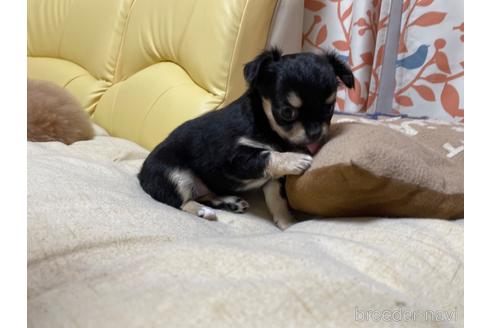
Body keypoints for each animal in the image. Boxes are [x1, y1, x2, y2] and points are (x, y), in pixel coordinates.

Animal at [138, 48, 354, 229]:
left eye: (328, 108)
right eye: (287, 112)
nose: (315, 133)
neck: (268, 128)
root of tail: (140, 175)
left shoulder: (273, 180)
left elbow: (277, 200)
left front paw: (287, 223)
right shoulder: (233, 159)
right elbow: (267, 155)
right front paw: (295, 159)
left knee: (204, 194)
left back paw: (229, 202)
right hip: (175, 175)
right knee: (181, 202)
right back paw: (202, 211)